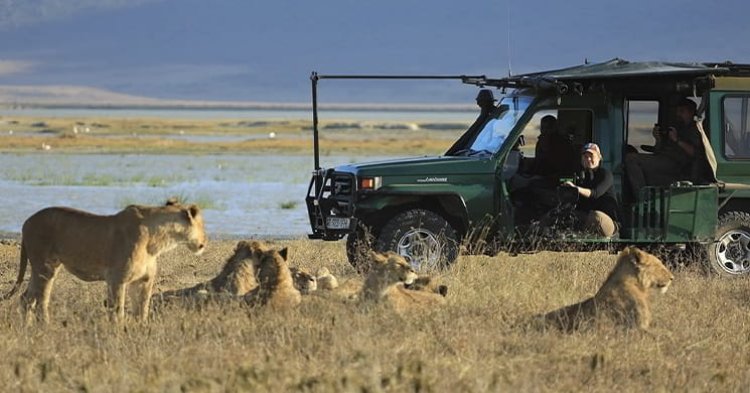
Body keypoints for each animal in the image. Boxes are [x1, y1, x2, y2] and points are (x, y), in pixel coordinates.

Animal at [1, 199, 207, 322]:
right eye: (202, 225)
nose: (205, 242)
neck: (157, 240)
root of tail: (26, 222)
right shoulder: (117, 279)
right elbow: (118, 311)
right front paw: (118, 336)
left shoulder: (144, 281)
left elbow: (142, 310)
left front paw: (141, 333)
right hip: (45, 267)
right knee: (40, 302)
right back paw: (45, 328)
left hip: (44, 268)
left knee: (26, 299)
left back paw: (28, 329)